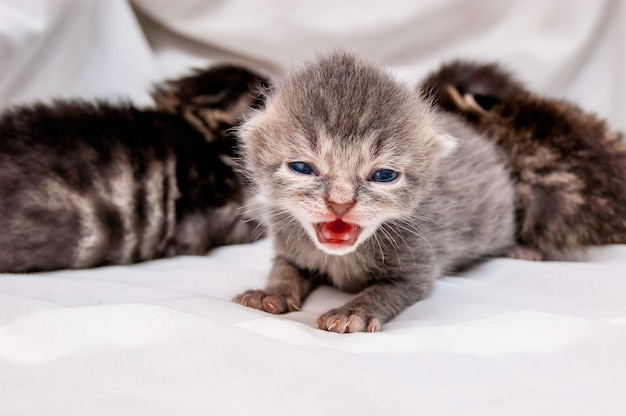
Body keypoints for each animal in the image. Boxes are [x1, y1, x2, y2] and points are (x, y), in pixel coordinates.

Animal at [232, 52, 516, 334]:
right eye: (302, 168)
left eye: (384, 176)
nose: (340, 203)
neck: (341, 259)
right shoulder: (288, 246)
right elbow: (284, 269)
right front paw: (272, 293)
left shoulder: (419, 266)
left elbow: (385, 291)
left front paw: (353, 312)